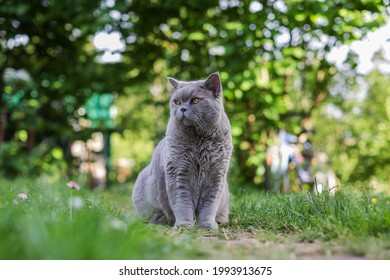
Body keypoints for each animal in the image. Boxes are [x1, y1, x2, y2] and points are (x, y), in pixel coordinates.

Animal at [133, 72, 233, 230]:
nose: (182, 109)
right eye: (177, 102)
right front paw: (184, 225)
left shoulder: (216, 176)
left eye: (195, 100)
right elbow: (182, 203)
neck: (199, 140)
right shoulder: (178, 173)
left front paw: (207, 225)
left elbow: (209, 205)